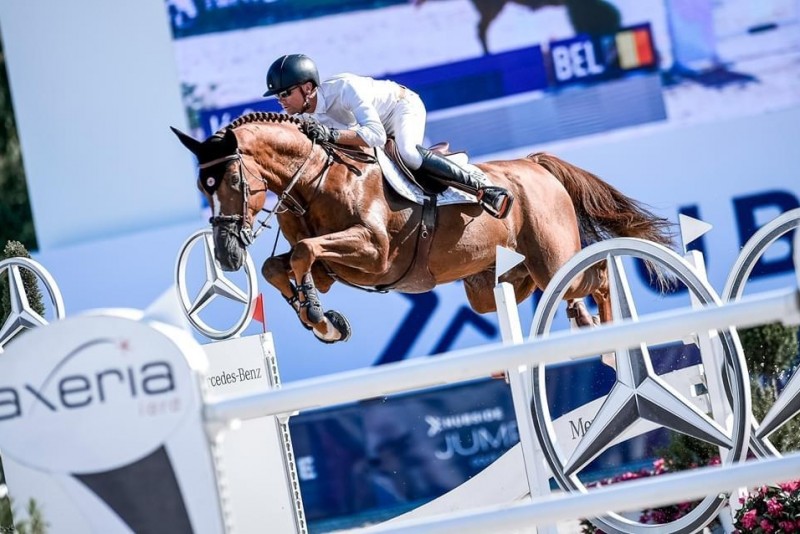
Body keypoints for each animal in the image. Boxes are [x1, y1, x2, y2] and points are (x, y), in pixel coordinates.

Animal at [171, 112, 673, 344]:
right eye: (200, 186)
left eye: (234, 181)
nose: (227, 255)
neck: (314, 178)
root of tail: (536, 166)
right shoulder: (333, 271)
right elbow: (283, 266)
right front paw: (322, 319)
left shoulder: (374, 253)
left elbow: (302, 253)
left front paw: (317, 317)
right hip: (494, 284)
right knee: (530, 290)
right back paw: (579, 323)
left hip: (554, 260)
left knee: (598, 276)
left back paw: (609, 332)